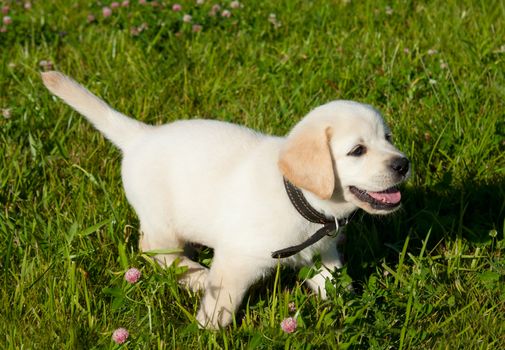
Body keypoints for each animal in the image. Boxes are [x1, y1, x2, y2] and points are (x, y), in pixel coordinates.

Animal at [42, 71, 410, 328]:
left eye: (388, 137)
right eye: (357, 150)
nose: (403, 163)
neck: (299, 198)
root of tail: (140, 136)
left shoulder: (323, 253)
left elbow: (334, 285)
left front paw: (351, 309)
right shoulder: (236, 259)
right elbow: (222, 302)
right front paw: (207, 330)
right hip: (161, 222)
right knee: (152, 250)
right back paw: (196, 276)